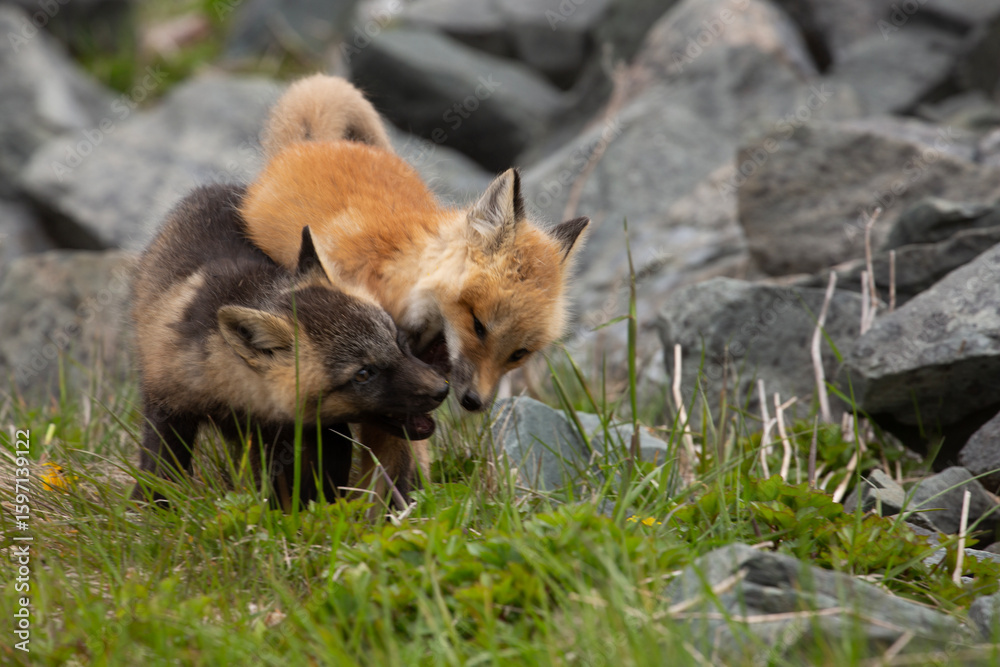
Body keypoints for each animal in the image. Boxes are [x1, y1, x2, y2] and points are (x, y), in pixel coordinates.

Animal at [130, 182, 449, 508]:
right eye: (363, 374)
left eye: (399, 342)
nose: (442, 389)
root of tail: (219, 186)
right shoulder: (167, 403)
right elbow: (159, 468)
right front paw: (150, 508)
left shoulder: (313, 433)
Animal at [239, 75, 589, 501]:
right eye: (478, 326)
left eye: (519, 353)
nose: (474, 402)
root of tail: (317, 143)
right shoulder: (383, 386)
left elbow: (402, 455)